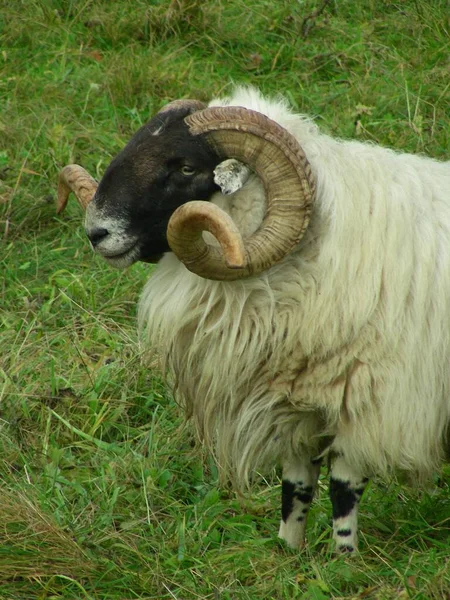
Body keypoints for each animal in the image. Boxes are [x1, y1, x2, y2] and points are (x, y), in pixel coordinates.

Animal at [58, 85, 450, 552]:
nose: (95, 232)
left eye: (186, 167)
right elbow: (296, 485)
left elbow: (344, 488)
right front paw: (288, 553)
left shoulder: (374, 402)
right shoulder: (293, 404)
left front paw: (343, 560)